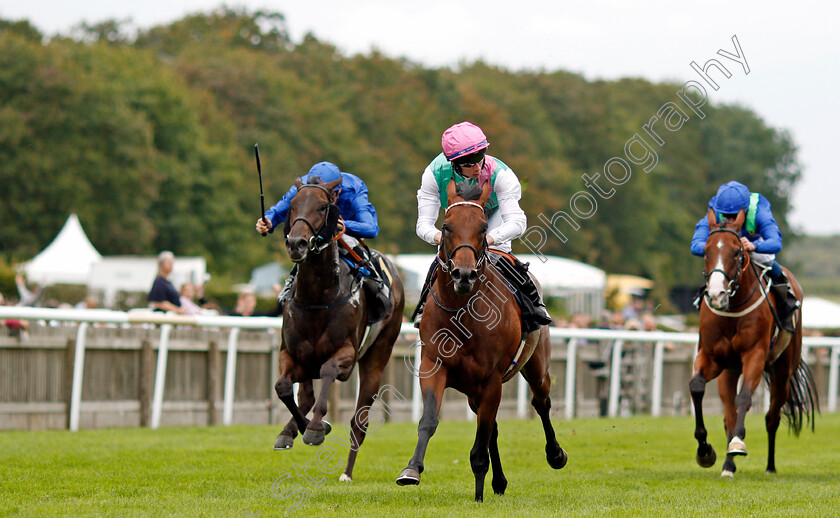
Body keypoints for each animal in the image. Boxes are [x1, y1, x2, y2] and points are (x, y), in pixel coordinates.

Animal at [274, 176, 406, 484]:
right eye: (292, 204)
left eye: (323, 206)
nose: (296, 243)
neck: (317, 296)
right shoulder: (291, 353)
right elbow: (283, 388)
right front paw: (300, 429)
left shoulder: (345, 355)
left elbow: (328, 373)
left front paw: (316, 428)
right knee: (306, 395)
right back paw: (290, 430)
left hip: (377, 357)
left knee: (360, 420)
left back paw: (347, 472)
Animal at [392, 180, 564, 504]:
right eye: (446, 226)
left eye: (483, 228)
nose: (464, 274)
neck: (463, 315)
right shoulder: (434, 367)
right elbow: (429, 420)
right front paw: (411, 469)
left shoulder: (492, 379)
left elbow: (481, 441)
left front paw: (479, 492)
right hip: (473, 391)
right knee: (493, 426)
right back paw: (499, 481)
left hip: (535, 366)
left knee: (541, 401)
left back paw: (555, 455)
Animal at [688, 210, 812, 480]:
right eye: (706, 251)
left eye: (737, 251)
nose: (716, 295)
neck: (732, 308)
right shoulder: (712, 357)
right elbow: (696, 387)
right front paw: (705, 451)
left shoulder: (755, 354)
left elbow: (744, 398)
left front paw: (737, 443)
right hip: (729, 370)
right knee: (729, 415)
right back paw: (728, 465)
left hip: (783, 371)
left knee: (772, 417)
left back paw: (770, 466)